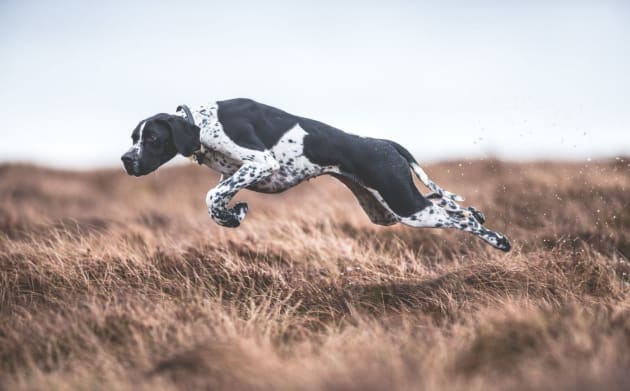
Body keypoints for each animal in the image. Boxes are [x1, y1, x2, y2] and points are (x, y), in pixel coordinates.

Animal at [122, 97, 512, 251]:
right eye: (132, 138)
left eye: (152, 138)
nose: (126, 160)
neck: (202, 123)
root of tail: (384, 143)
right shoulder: (236, 174)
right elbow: (217, 200)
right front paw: (233, 215)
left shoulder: (261, 163)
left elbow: (210, 197)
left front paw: (234, 214)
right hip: (387, 208)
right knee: (449, 204)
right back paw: (477, 213)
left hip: (404, 206)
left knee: (459, 216)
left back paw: (498, 240)